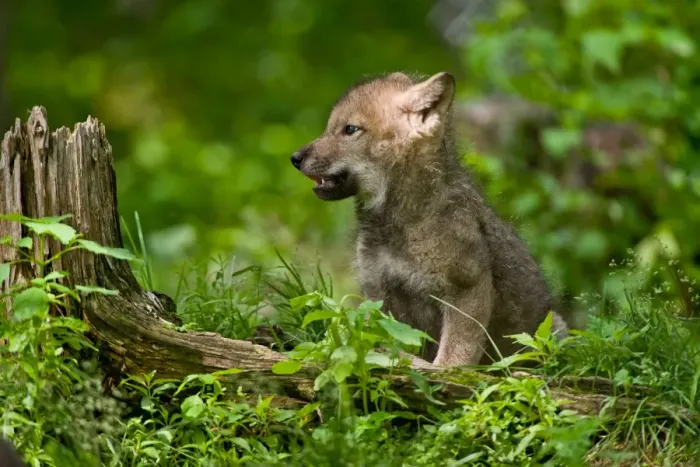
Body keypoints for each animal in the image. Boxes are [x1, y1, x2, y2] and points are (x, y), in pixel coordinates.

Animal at [290, 71, 567, 366]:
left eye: (350, 129)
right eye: (330, 127)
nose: (295, 158)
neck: (398, 225)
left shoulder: (466, 289)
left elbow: (453, 357)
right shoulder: (379, 291)